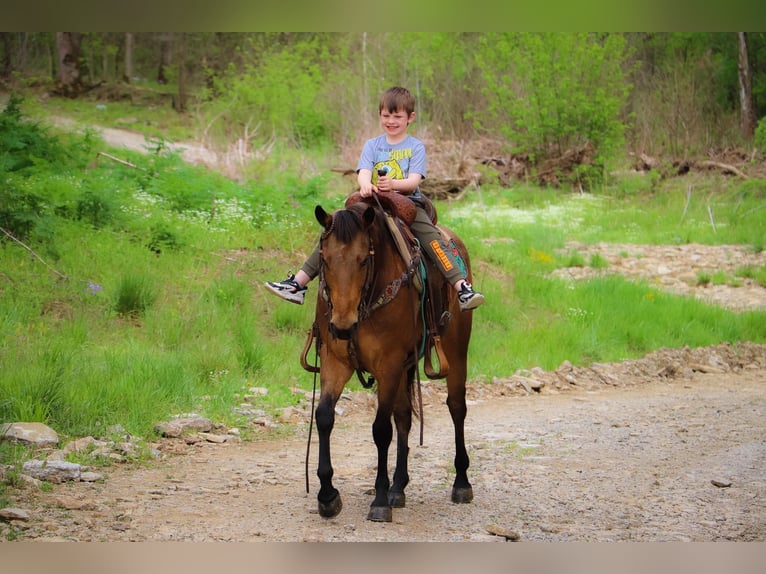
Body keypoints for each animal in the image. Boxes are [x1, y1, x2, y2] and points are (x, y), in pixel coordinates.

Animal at [306, 196, 474, 524]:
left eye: (363, 260)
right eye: (325, 260)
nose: (342, 326)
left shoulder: (389, 365)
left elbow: (381, 430)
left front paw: (380, 500)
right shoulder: (335, 362)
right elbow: (324, 416)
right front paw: (328, 496)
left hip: (456, 352)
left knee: (456, 408)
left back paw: (461, 483)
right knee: (405, 416)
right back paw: (399, 487)